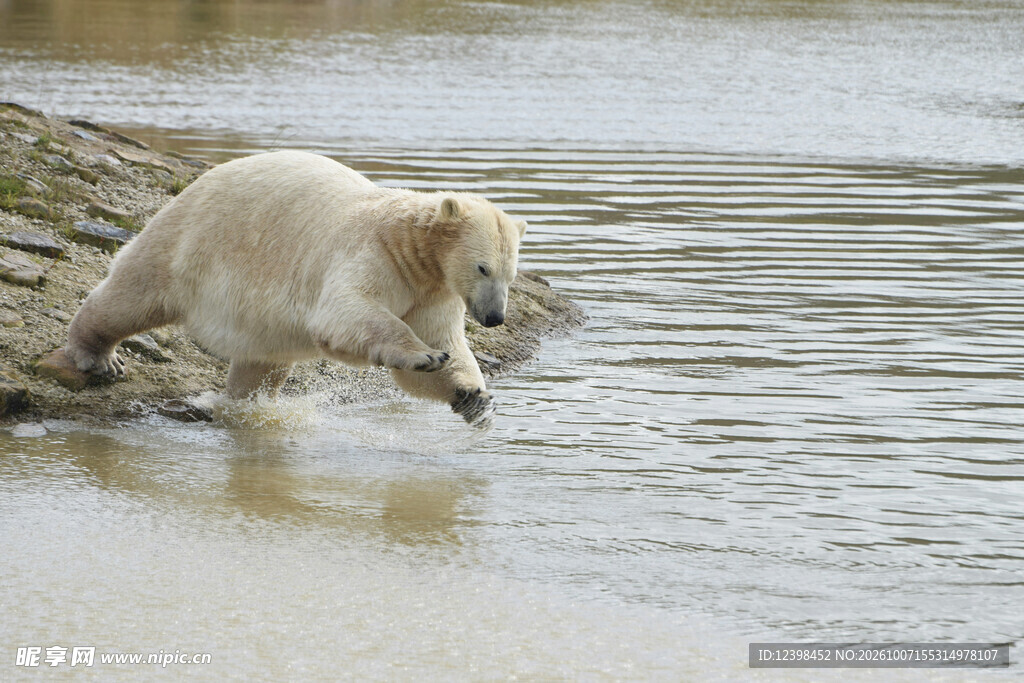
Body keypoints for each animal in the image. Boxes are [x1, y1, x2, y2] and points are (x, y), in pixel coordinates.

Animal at [63, 150, 527, 425]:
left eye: (510, 274)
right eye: (483, 267)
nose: (494, 318)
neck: (407, 243)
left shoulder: (432, 289)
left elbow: (441, 338)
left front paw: (474, 397)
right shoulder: (370, 253)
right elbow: (346, 312)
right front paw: (424, 355)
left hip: (257, 317)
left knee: (262, 360)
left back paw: (245, 403)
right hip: (188, 242)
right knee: (132, 296)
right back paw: (100, 357)